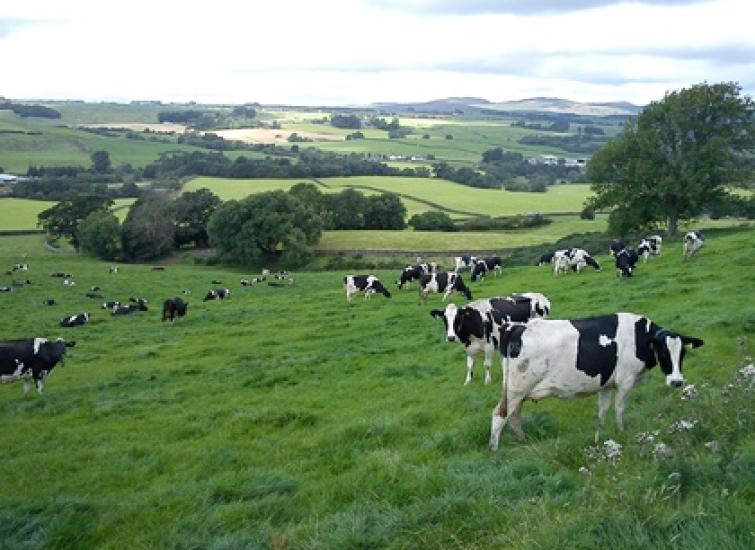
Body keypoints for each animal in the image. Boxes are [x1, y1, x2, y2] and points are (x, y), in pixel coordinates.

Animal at [488, 314, 704, 452]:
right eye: (664, 353)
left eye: (682, 353)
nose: (677, 382)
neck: (639, 336)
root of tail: (516, 326)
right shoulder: (626, 380)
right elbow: (619, 409)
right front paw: (621, 430)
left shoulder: (606, 384)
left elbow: (602, 410)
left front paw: (600, 432)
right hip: (517, 387)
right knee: (500, 414)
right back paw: (494, 449)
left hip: (518, 391)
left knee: (514, 416)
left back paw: (523, 441)